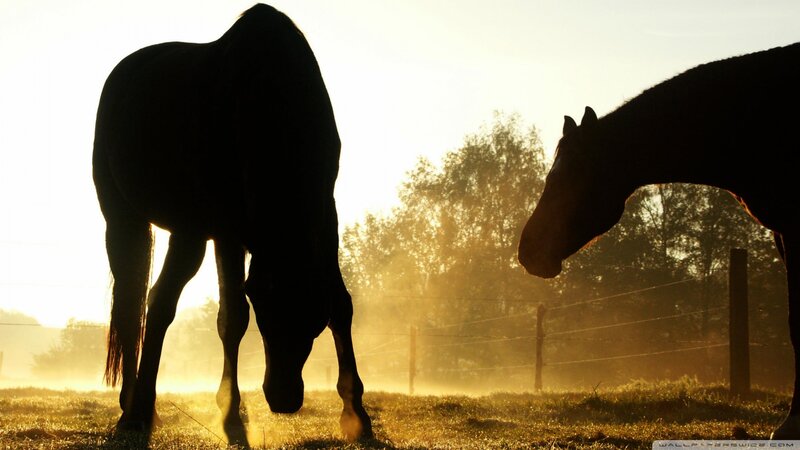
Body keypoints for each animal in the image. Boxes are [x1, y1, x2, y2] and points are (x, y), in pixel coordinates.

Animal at [92, 4, 372, 442]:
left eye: (313, 319)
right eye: (266, 313)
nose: (284, 398)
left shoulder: (326, 217)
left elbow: (342, 305)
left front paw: (356, 412)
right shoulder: (226, 229)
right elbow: (233, 317)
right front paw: (231, 413)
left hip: (186, 232)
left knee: (153, 302)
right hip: (131, 220)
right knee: (137, 305)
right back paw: (134, 411)